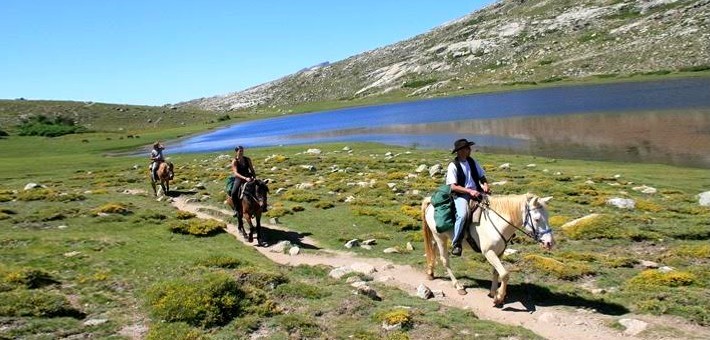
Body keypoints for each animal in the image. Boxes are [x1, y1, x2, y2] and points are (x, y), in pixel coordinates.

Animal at [422, 193, 556, 306]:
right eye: (537, 219)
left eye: (548, 216)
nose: (549, 243)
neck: (499, 223)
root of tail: (431, 202)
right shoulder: (489, 252)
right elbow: (505, 274)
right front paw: (499, 298)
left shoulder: (499, 252)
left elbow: (496, 272)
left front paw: (492, 293)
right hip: (440, 237)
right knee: (445, 260)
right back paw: (458, 286)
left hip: (436, 238)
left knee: (432, 248)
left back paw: (430, 272)